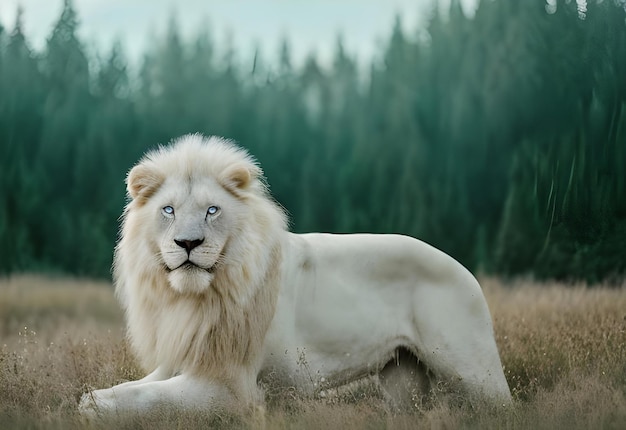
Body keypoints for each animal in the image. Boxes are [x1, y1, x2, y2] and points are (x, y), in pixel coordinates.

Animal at [79, 134, 508, 416]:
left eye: (212, 211)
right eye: (168, 210)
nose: (187, 242)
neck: (192, 298)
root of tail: (464, 270)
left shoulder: (231, 388)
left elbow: (146, 398)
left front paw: (94, 406)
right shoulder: (182, 357)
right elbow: (132, 386)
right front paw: (95, 396)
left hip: (474, 372)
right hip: (403, 379)